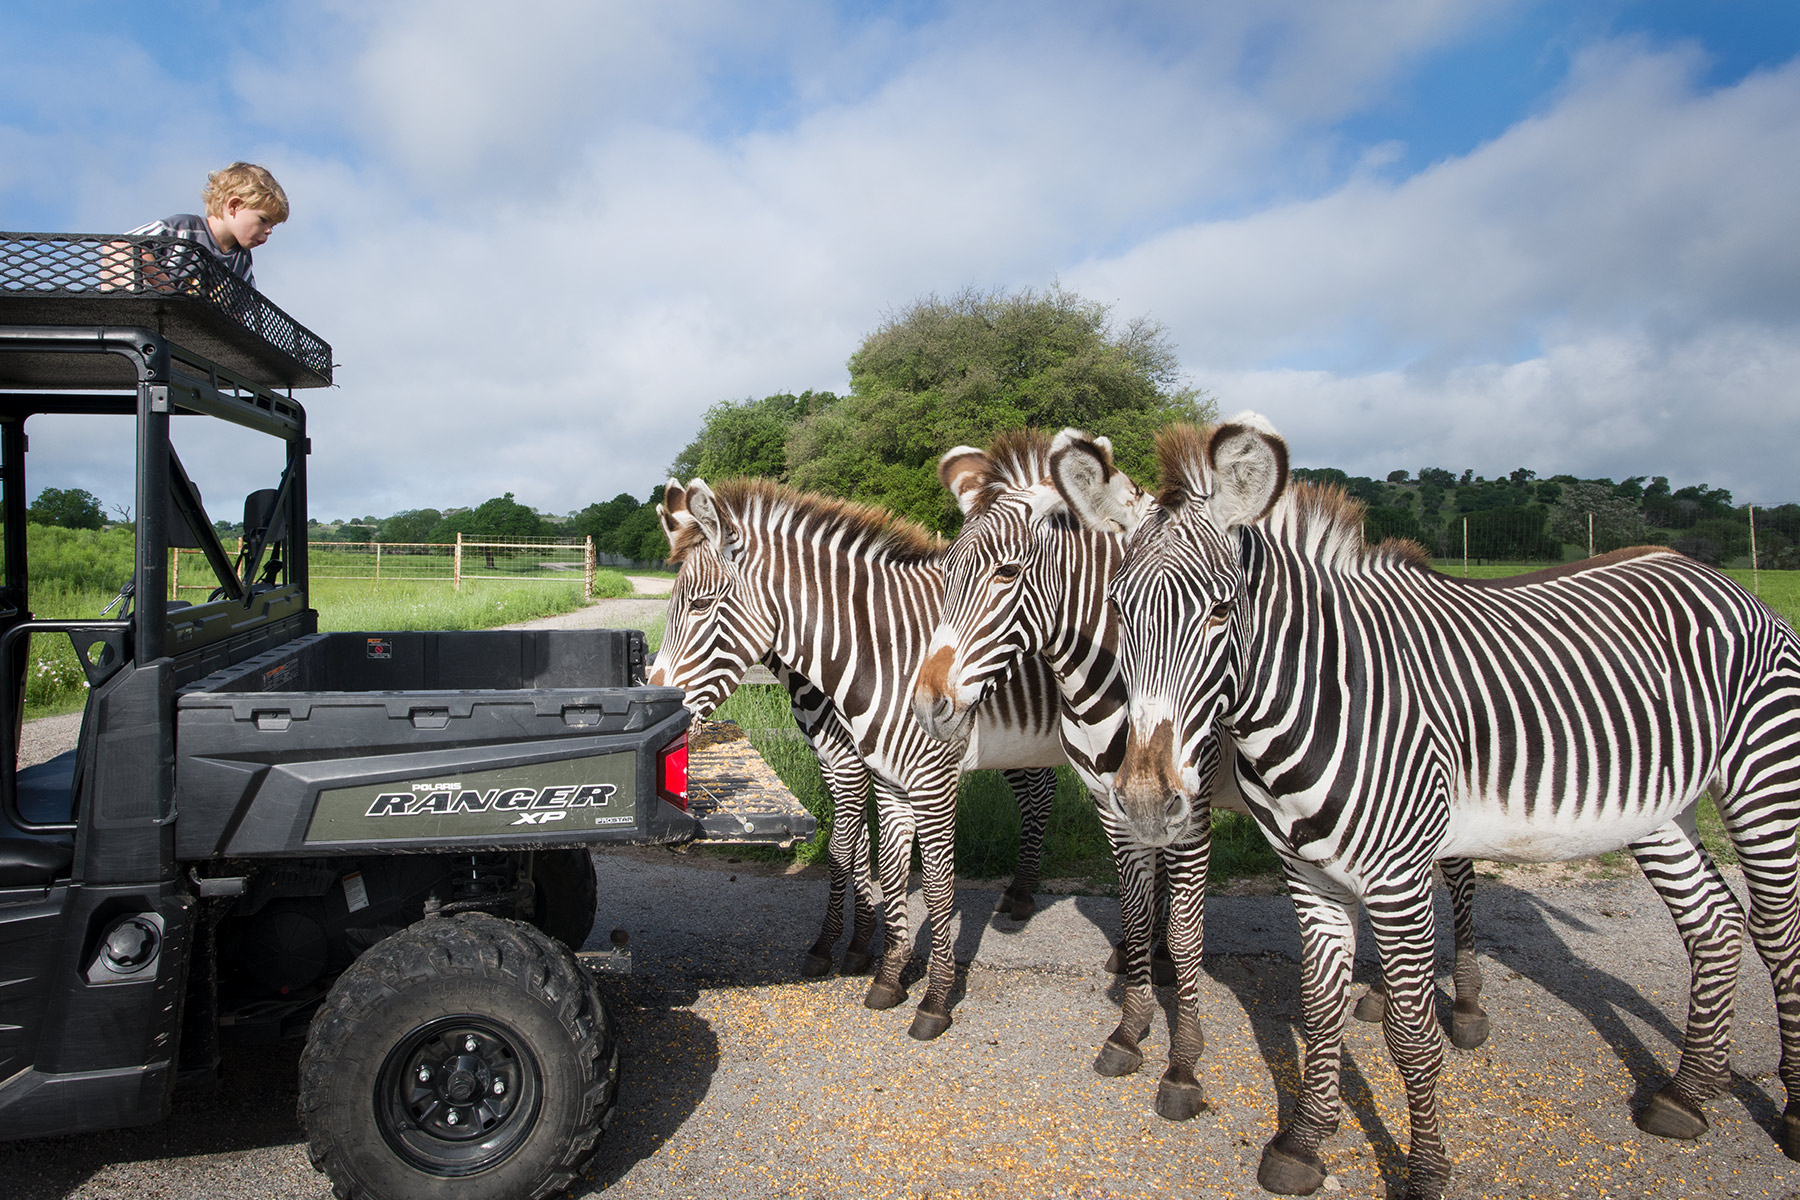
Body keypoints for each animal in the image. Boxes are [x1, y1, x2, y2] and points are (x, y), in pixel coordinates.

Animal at [655, 474, 1065, 1036]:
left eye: (699, 605)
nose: (657, 701)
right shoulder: (843, 761)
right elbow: (862, 854)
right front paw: (861, 946)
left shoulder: (863, 766)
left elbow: (853, 853)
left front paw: (841, 947)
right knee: (1040, 793)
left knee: (1046, 797)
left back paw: (1030, 899)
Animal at [914, 429, 1490, 1129]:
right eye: (946, 573)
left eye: (1006, 573)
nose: (928, 704)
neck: (1106, 680)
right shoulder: (1116, 807)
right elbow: (1136, 914)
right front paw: (1131, 1027)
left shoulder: (1187, 812)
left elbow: (1188, 935)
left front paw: (1182, 1065)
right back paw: (1379, 996)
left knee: (1457, 875)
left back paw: (1465, 1006)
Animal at [1051, 415, 1800, 1200]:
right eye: (1118, 609)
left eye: (1223, 610)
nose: (1144, 799)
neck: (1321, 694)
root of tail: (1709, 574)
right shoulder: (1308, 876)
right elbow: (1320, 1011)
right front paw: (1304, 1144)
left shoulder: (1398, 878)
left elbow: (1411, 1037)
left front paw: (1426, 1169)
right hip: (1657, 807)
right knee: (1715, 925)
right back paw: (1686, 1097)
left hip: (1762, 780)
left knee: (1777, 932)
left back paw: (1789, 1113)